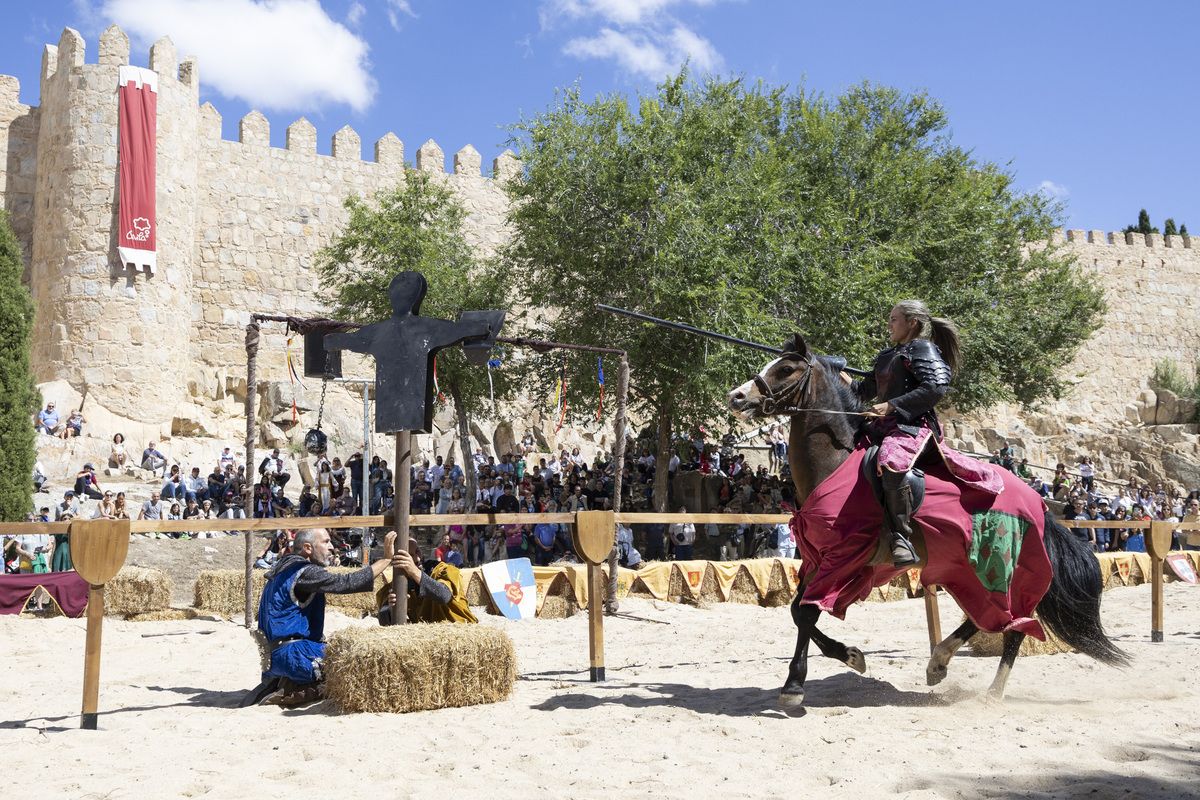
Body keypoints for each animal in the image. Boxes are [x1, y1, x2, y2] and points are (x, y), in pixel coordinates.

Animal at [724, 331, 1128, 705]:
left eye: (785, 369)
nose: (736, 397)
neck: (836, 465)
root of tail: (1038, 501)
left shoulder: (842, 557)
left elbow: (807, 613)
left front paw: (794, 686)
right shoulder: (816, 558)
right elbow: (797, 610)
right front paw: (850, 657)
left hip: (998, 564)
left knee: (1011, 624)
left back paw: (990, 693)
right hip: (965, 567)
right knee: (985, 617)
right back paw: (939, 663)